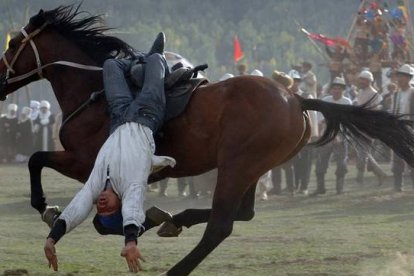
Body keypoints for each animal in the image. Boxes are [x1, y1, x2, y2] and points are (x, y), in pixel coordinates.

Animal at [0, 5, 414, 274]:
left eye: (13, 44)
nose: (0, 80)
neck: (92, 87)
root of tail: (296, 99)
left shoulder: (83, 160)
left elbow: (36, 158)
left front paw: (46, 207)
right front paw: (155, 218)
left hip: (237, 165)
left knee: (221, 225)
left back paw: (177, 266)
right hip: (251, 168)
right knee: (241, 213)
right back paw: (174, 220)